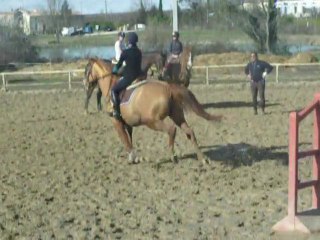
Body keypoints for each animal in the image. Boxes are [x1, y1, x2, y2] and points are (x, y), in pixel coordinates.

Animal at [84, 57, 222, 165]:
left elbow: (126, 140)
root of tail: (168, 87)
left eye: (86, 70)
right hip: (177, 116)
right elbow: (130, 138)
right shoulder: (128, 123)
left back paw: (172, 156)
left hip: (152, 122)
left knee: (171, 130)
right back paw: (202, 158)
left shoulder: (116, 122)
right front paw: (135, 157)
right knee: (190, 132)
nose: (85, 84)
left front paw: (132, 158)